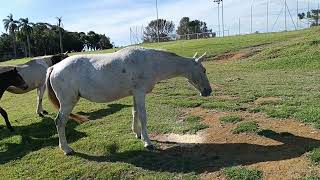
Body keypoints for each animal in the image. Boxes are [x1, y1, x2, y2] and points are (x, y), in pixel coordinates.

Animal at [46, 47, 211, 155]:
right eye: (203, 70)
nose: (208, 91)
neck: (150, 62)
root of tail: (54, 67)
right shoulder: (140, 93)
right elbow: (143, 116)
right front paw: (147, 142)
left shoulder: (135, 94)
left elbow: (135, 112)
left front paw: (137, 134)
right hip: (67, 103)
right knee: (60, 122)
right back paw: (66, 149)